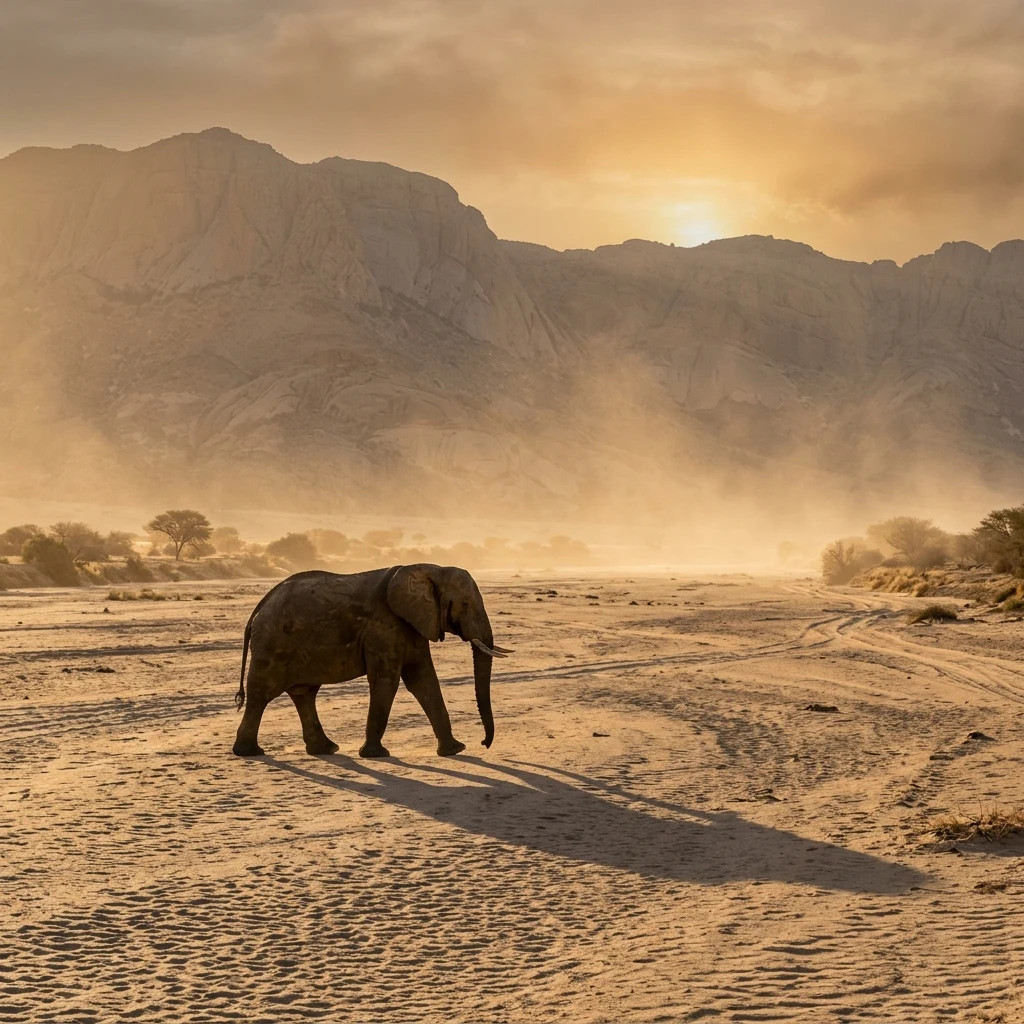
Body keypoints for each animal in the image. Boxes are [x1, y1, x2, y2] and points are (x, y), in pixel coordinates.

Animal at [231, 564, 512, 758]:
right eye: (464, 604)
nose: (484, 743)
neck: (430, 569)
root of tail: (259, 607)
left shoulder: (412, 625)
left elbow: (424, 681)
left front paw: (454, 750)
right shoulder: (384, 627)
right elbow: (388, 681)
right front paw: (376, 755)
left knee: (304, 693)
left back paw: (325, 749)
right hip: (272, 643)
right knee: (262, 694)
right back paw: (249, 752)